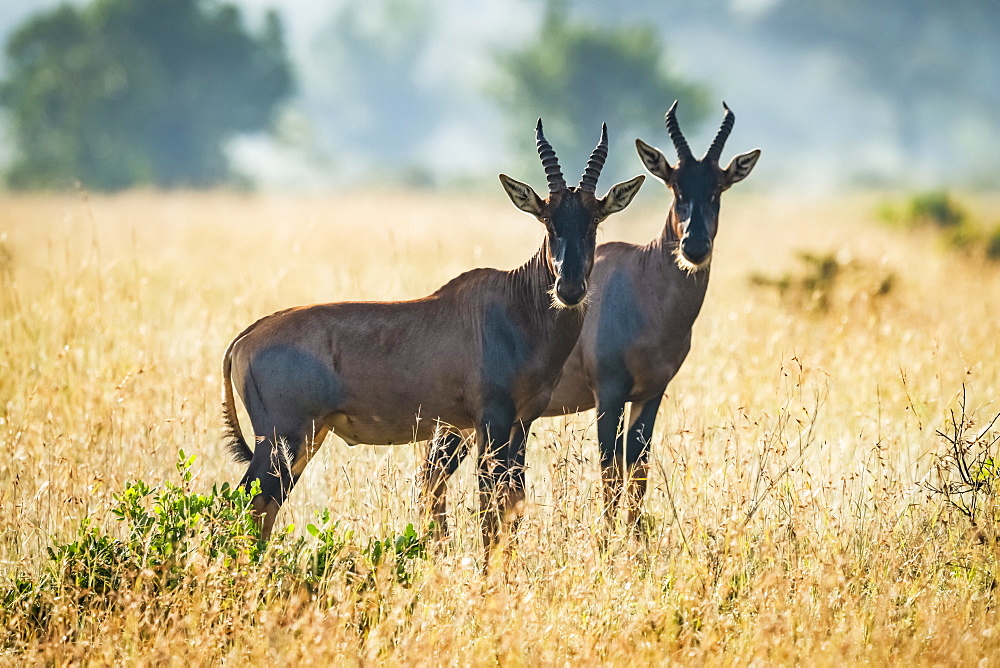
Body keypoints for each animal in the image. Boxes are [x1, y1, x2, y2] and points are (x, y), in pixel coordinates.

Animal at [222, 120, 644, 552]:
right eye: (547, 220)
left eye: (594, 221)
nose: (569, 289)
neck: (516, 304)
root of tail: (245, 338)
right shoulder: (490, 422)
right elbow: (489, 512)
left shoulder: (520, 424)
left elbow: (513, 504)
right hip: (283, 440)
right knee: (243, 506)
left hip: (304, 440)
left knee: (260, 510)